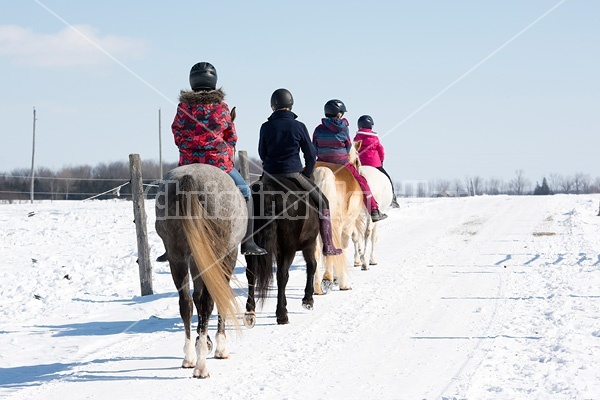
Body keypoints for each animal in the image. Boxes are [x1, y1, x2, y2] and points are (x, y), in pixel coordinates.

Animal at [157, 163, 248, 378]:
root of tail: (189, 178)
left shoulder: (194, 259)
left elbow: (197, 298)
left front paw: (204, 340)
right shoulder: (228, 255)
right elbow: (219, 296)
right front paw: (219, 347)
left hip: (177, 256)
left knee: (186, 303)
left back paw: (190, 357)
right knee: (208, 300)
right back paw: (201, 365)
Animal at [312, 142, 364, 292]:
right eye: (358, 161)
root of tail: (321, 171)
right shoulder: (348, 225)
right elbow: (344, 247)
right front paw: (338, 279)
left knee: (317, 252)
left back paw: (317, 287)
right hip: (336, 223)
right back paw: (329, 279)